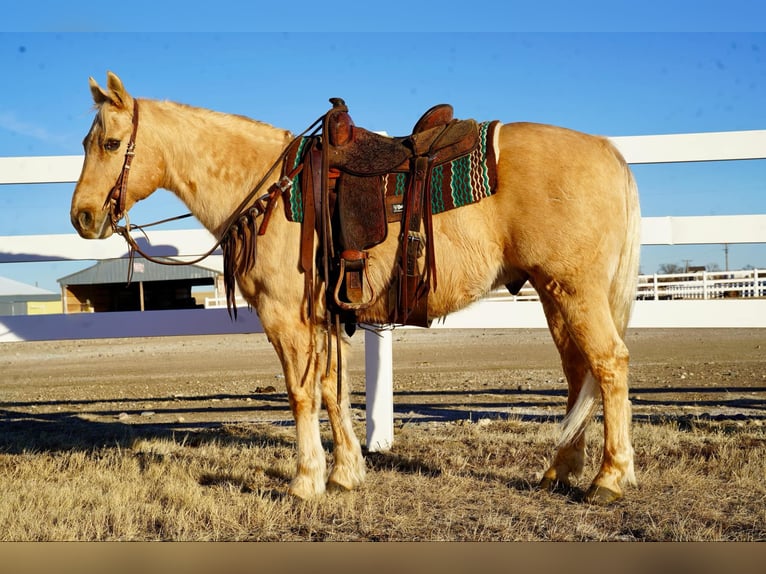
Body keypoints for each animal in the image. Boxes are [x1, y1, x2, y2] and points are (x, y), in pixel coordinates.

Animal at [70, 72, 640, 504]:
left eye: (111, 144)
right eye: (86, 143)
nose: (82, 216)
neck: (269, 187)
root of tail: (607, 151)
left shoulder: (285, 316)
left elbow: (301, 392)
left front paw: (306, 482)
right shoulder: (325, 316)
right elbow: (333, 389)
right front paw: (345, 473)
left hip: (575, 292)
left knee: (608, 365)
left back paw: (609, 479)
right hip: (555, 294)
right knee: (578, 374)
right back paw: (561, 470)